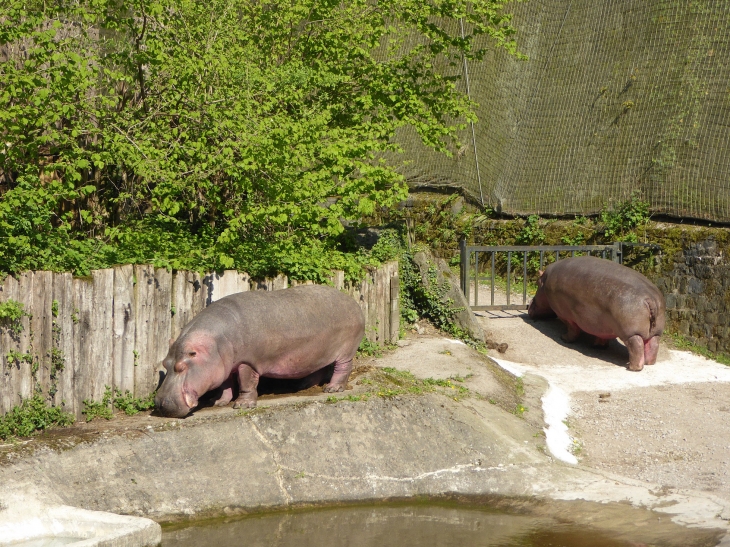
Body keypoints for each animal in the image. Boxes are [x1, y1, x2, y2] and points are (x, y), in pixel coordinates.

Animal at [157, 284, 366, 418]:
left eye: (181, 366)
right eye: (165, 363)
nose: (160, 404)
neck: (214, 345)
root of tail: (353, 302)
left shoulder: (247, 362)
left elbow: (246, 383)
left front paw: (242, 405)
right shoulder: (224, 366)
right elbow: (225, 385)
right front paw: (219, 402)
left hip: (346, 351)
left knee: (343, 368)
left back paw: (332, 388)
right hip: (318, 352)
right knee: (319, 368)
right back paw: (303, 386)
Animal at [528, 256, 664, 372]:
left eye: (537, 283)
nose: (529, 308)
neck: (545, 280)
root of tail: (650, 299)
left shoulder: (564, 314)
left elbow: (572, 329)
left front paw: (564, 338)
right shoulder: (603, 325)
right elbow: (602, 336)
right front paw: (598, 345)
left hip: (631, 333)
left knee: (636, 347)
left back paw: (632, 368)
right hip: (655, 332)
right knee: (653, 346)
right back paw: (649, 363)